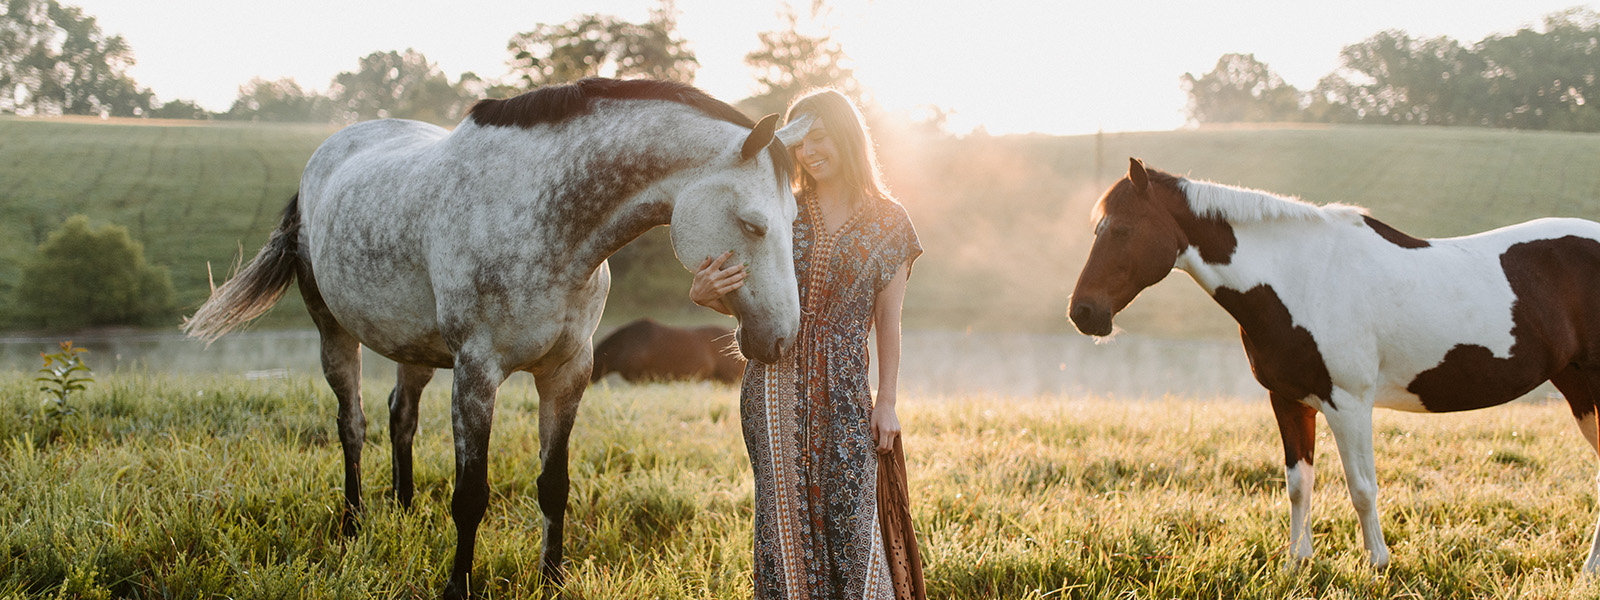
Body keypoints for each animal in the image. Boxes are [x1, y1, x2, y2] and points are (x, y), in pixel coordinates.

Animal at [1068, 158, 1600, 572]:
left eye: (1122, 230)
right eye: (1097, 229)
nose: (1083, 313)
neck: (1300, 277)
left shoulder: (1349, 404)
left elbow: (1361, 487)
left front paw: (1378, 563)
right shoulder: (1288, 400)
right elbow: (1298, 484)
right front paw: (1296, 562)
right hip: (1579, 390)